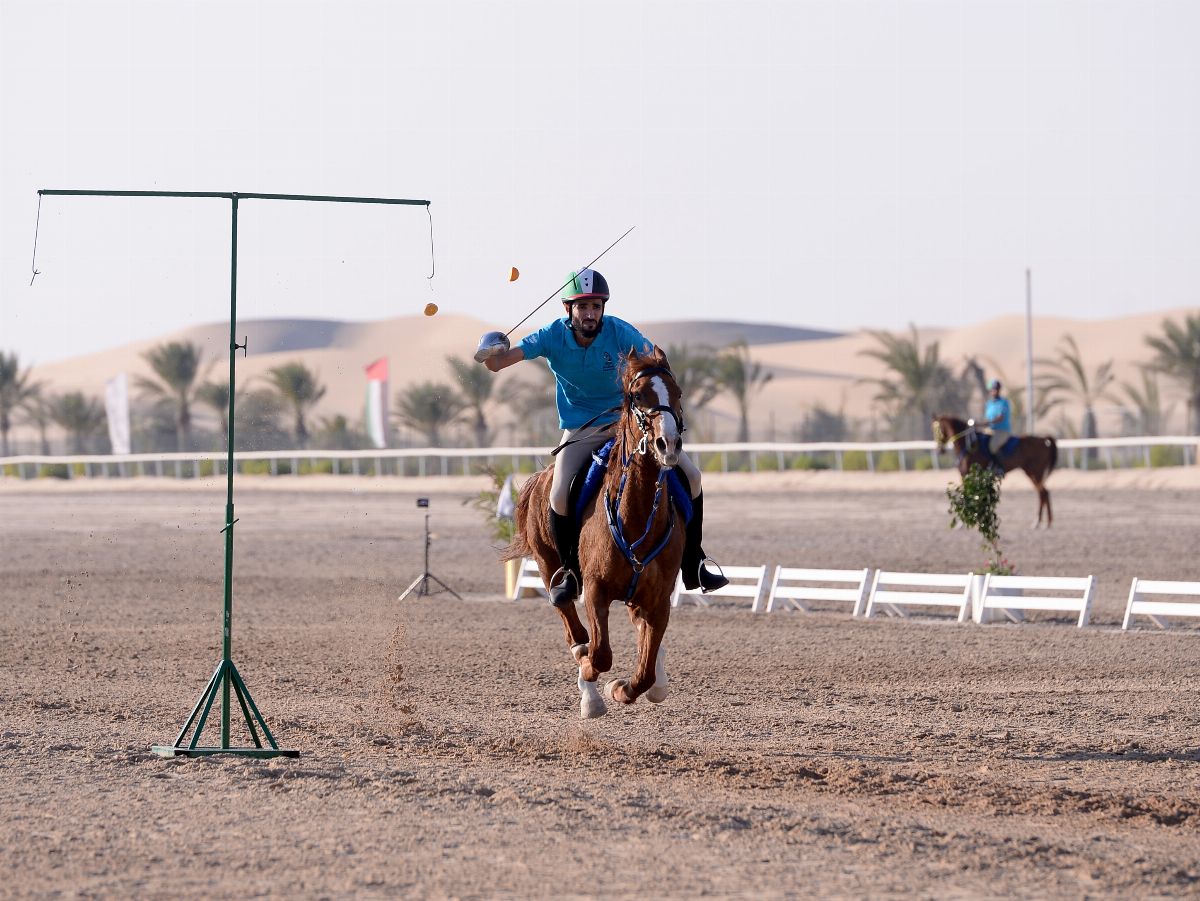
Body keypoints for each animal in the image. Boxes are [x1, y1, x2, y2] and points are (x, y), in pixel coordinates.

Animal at [501, 345, 686, 719]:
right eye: (637, 395)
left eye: (677, 393)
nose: (668, 444)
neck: (636, 516)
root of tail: (540, 477)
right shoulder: (596, 590)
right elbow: (600, 654)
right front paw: (595, 683)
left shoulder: (659, 599)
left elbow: (645, 669)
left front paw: (624, 688)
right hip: (548, 566)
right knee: (572, 624)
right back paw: (587, 682)